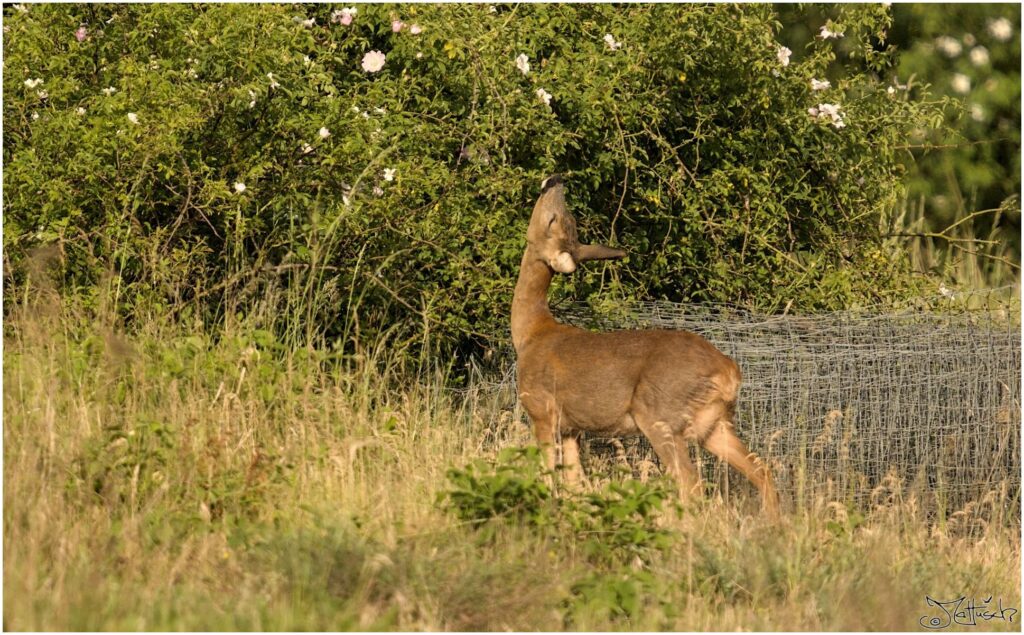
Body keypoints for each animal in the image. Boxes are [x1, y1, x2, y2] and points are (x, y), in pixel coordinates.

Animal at [507, 175, 778, 516]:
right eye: (565, 221)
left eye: (553, 220)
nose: (556, 180)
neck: (530, 334)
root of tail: (729, 371)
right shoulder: (572, 427)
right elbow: (574, 484)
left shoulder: (542, 410)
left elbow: (545, 475)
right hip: (713, 422)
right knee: (763, 471)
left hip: (659, 415)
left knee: (691, 482)